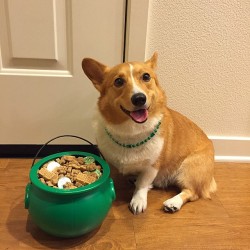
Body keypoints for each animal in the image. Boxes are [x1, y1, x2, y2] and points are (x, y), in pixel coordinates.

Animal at [82, 53, 217, 215]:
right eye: (118, 81)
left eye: (146, 76)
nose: (139, 98)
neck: (131, 132)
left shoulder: (152, 166)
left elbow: (142, 184)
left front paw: (138, 200)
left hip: (188, 169)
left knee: (192, 192)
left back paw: (173, 203)